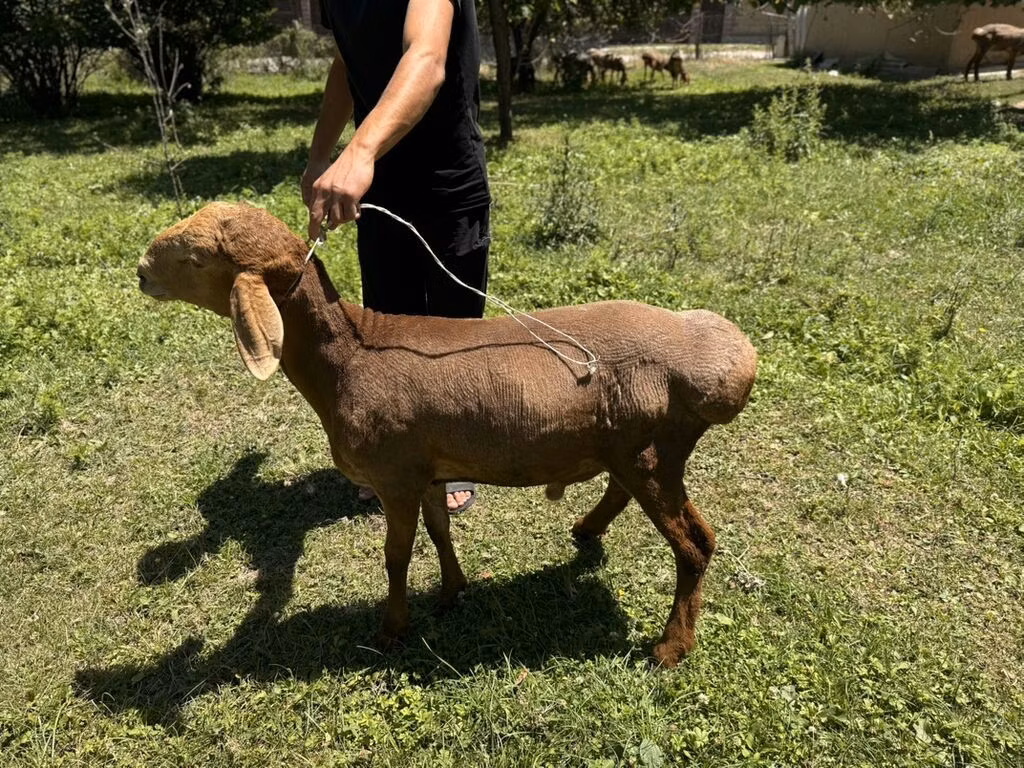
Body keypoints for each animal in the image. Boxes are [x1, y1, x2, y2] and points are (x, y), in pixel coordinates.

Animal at [136, 202, 757, 668]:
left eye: (195, 259)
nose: (140, 270)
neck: (347, 359)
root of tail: (727, 361)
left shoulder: (393, 476)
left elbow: (395, 555)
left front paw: (392, 630)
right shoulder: (426, 467)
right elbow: (439, 533)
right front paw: (453, 590)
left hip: (652, 450)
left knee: (695, 544)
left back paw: (671, 647)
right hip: (633, 447)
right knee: (628, 495)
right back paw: (586, 531)